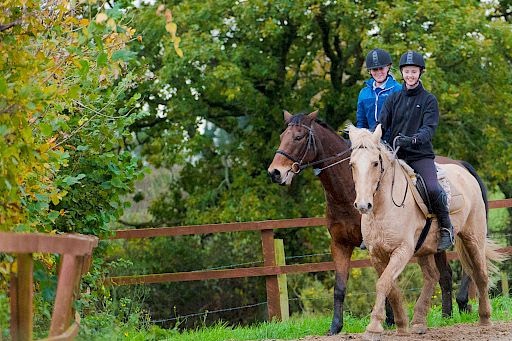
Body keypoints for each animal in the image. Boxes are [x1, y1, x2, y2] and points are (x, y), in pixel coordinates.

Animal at [268, 110, 472, 334]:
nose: (275, 172)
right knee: (445, 274)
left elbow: (385, 280)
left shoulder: (377, 246)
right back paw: (447, 314)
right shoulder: (340, 244)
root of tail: (459, 164)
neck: (348, 193)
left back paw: (457, 306)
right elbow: (340, 287)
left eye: (298, 137)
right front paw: (335, 326)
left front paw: (388, 320)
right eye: (282, 136)